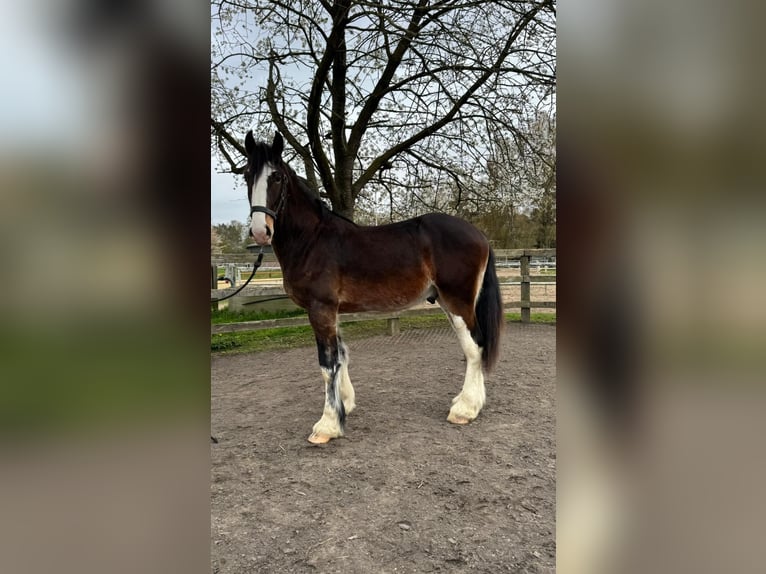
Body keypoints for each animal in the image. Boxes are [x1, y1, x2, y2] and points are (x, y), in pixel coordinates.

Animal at [243, 130, 504, 444]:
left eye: (277, 177)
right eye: (247, 175)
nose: (261, 231)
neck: (312, 240)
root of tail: (479, 234)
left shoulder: (320, 309)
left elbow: (327, 365)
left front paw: (327, 425)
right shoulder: (333, 312)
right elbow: (341, 357)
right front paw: (345, 404)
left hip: (458, 302)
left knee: (474, 347)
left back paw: (465, 409)